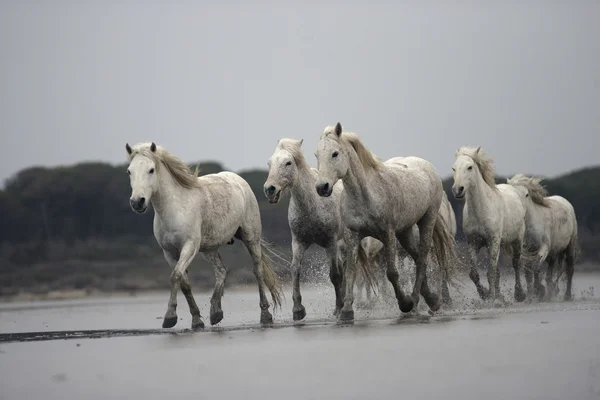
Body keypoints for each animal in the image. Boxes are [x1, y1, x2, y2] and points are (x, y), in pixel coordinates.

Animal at [125, 142, 284, 330]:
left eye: (151, 170)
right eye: (129, 171)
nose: (137, 202)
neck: (174, 207)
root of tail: (238, 180)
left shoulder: (189, 246)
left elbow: (175, 276)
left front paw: (170, 317)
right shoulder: (169, 252)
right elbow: (184, 282)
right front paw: (196, 320)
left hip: (250, 238)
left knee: (257, 271)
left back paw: (265, 315)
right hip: (209, 248)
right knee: (221, 271)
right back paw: (216, 312)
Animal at [262, 139, 376, 320]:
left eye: (288, 163)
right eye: (269, 163)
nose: (270, 189)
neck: (311, 205)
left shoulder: (330, 242)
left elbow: (335, 275)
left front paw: (339, 308)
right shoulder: (298, 242)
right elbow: (295, 270)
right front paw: (298, 309)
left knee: (344, 270)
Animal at [314, 123, 454, 320]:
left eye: (335, 153)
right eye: (317, 155)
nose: (322, 187)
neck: (366, 195)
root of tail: (427, 166)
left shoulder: (388, 233)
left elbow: (392, 273)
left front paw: (404, 304)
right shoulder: (353, 235)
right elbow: (350, 273)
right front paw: (347, 310)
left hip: (427, 220)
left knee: (422, 259)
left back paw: (416, 301)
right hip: (404, 232)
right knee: (418, 256)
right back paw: (432, 299)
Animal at [452, 145, 528, 304]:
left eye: (470, 167)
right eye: (453, 168)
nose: (457, 190)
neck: (481, 210)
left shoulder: (493, 240)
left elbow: (491, 272)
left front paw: (492, 299)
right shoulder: (473, 242)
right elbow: (474, 274)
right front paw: (485, 294)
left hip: (517, 240)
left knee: (516, 264)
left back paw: (519, 295)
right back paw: (500, 296)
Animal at [508, 173, 580, 302]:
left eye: (527, 194)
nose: (520, 212)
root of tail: (566, 202)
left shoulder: (544, 247)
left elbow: (536, 266)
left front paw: (539, 290)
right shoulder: (526, 251)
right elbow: (528, 270)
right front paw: (531, 295)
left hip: (570, 245)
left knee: (569, 268)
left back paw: (566, 296)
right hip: (554, 252)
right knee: (551, 270)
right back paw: (551, 291)